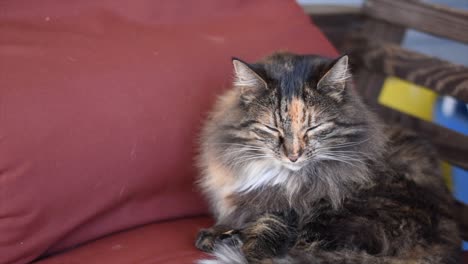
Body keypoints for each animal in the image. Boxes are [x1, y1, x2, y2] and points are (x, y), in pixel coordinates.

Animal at [195, 52, 464, 262]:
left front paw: (240, 243)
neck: (282, 177)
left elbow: (267, 230)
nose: (293, 156)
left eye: (313, 128)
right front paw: (216, 233)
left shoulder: (293, 207)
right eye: (272, 129)